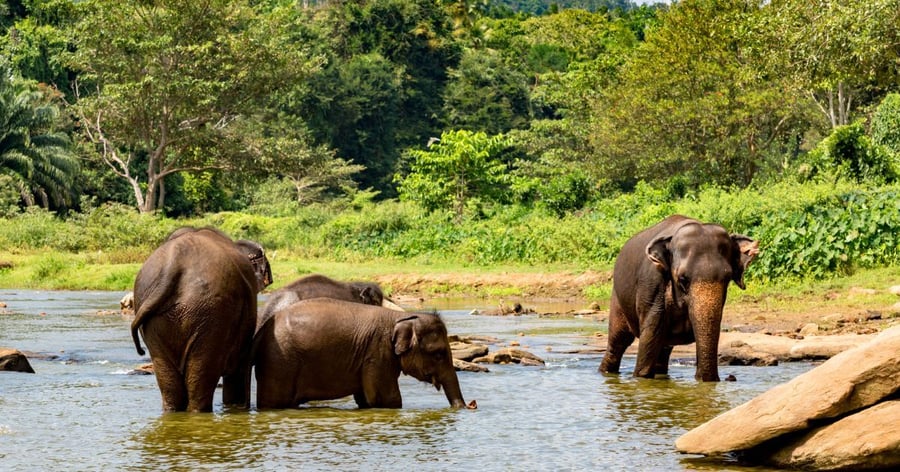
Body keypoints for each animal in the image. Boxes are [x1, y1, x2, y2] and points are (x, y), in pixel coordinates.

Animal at [253, 298, 468, 409]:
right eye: (438, 354)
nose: (470, 406)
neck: (400, 317)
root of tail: (263, 328)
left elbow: (365, 399)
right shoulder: (377, 353)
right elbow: (386, 399)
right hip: (280, 362)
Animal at [599, 215, 759, 381]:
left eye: (727, 279)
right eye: (683, 279)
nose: (730, 377)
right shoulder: (652, 282)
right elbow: (651, 332)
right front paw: (641, 378)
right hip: (617, 298)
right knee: (618, 342)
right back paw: (606, 372)